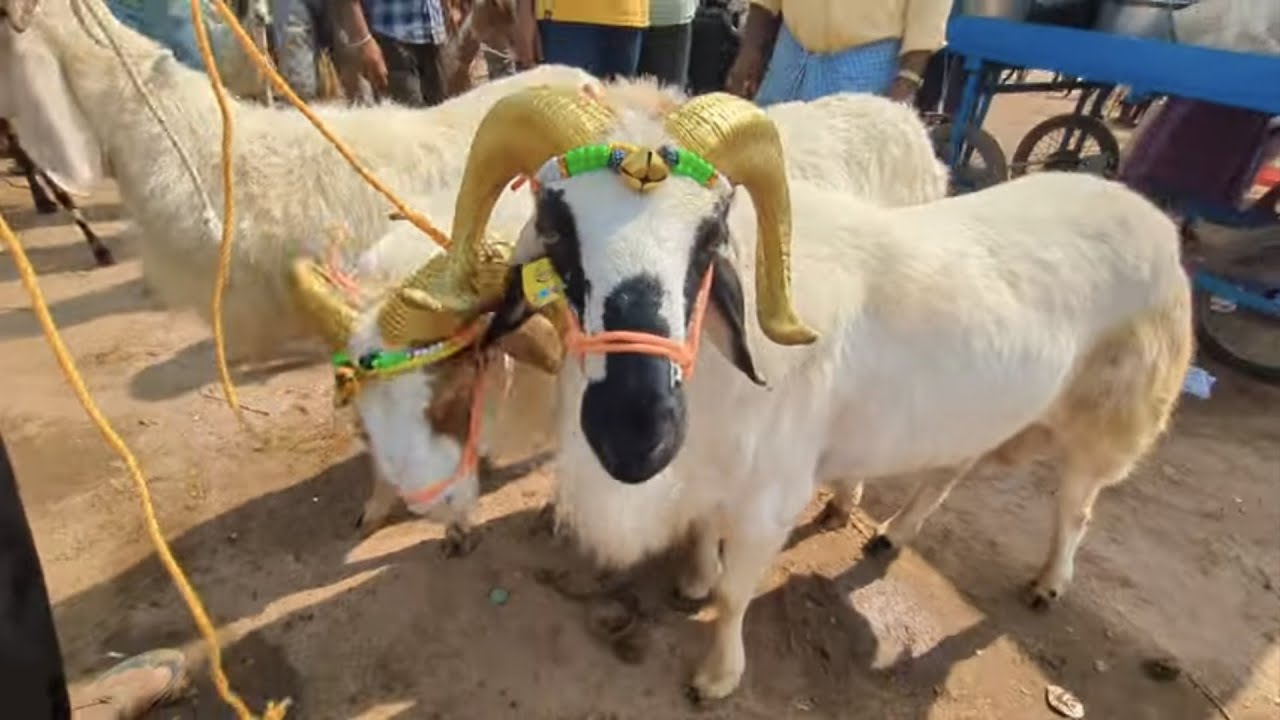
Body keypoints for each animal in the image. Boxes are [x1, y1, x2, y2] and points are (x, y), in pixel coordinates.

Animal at [382, 86, 1192, 702]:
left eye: (712, 237)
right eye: (554, 229)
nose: (637, 433)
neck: (715, 383)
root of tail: (1149, 215)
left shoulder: (771, 495)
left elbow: (737, 595)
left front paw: (716, 675)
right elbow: (704, 538)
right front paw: (693, 580)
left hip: (1109, 417)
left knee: (1077, 506)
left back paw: (1048, 582)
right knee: (949, 468)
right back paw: (893, 532)